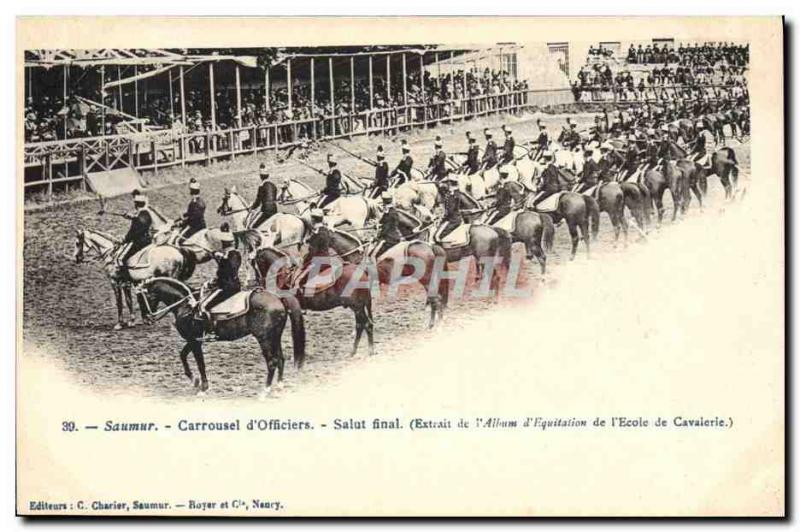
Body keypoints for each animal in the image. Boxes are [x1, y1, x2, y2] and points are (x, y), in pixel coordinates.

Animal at [136, 278, 304, 394]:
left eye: (144, 298)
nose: (147, 319)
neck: (187, 305)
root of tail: (278, 299)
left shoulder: (194, 341)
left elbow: (200, 363)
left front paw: (203, 387)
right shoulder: (193, 340)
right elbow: (183, 355)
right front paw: (195, 381)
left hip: (265, 339)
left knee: (272, 361)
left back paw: (265, 390)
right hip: (275, 337)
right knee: (280, 358)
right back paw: (279, 385)